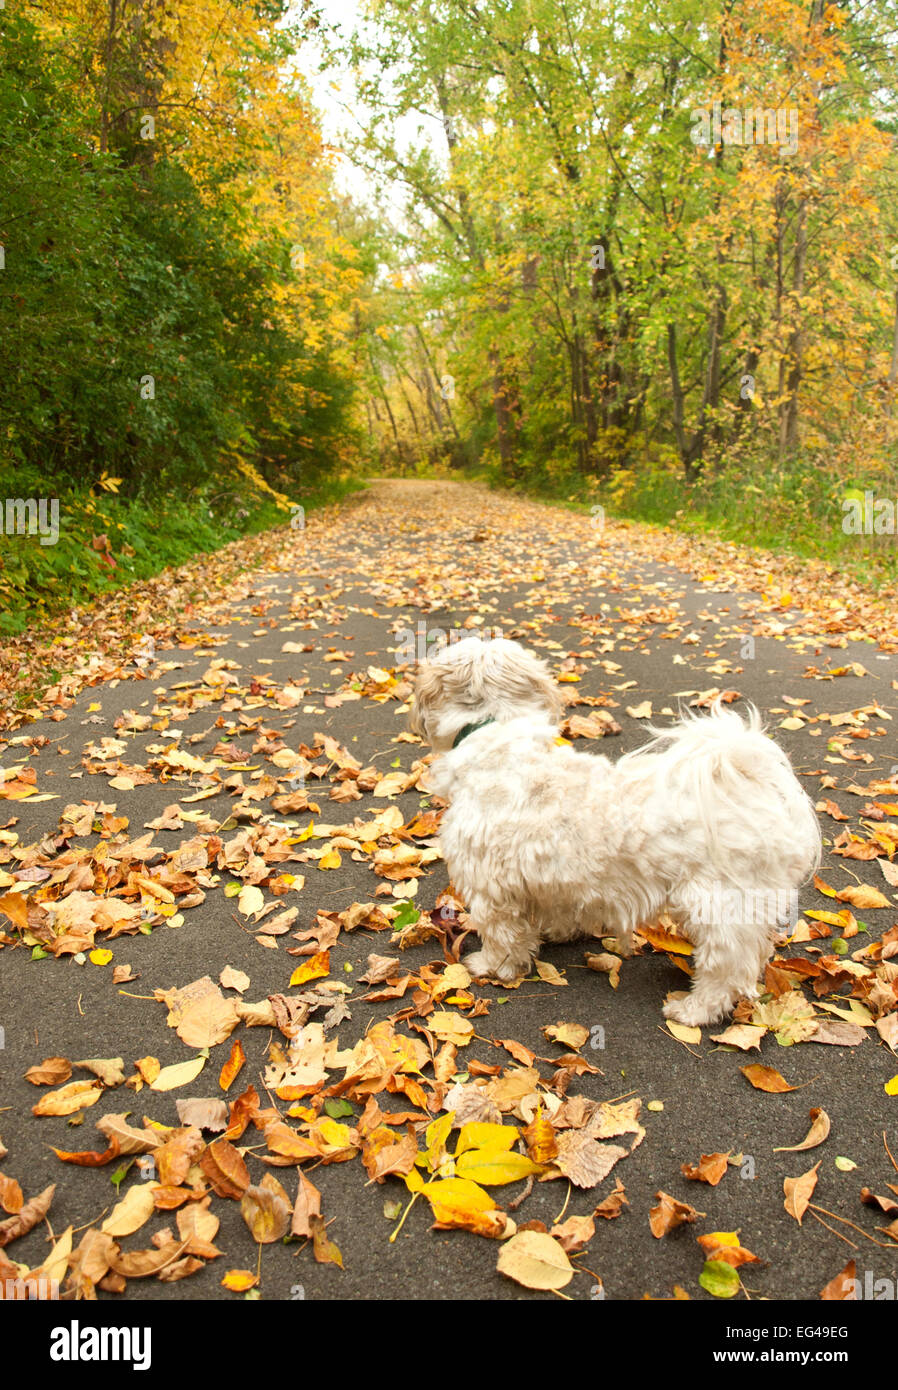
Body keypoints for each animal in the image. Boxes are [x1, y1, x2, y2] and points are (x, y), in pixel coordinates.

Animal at [411, 636, 828, 1023]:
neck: (496, 733)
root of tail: (752, 779)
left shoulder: (490, 886)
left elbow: (501, 934)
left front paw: (494, 967)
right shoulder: (553, 878)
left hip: (718, 903)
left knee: (728, 967)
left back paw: (693, 1010)